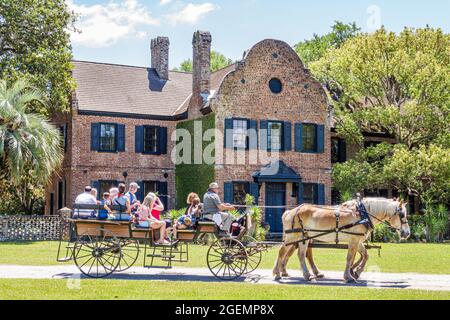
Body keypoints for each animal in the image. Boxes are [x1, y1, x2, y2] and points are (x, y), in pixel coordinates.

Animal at [272, 198, 410, 282]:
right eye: (402, 214)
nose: (407, 233)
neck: (362, 215)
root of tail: (291, 211)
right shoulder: (353, 240)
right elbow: (350, 258)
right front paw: (348, 276)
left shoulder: (357, 241)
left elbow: (365, 255)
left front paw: (357, 272)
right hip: (292, 237)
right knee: (282, 252)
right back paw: (277, 273)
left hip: (304, 238)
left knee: (301, 255)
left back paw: (307, 275)